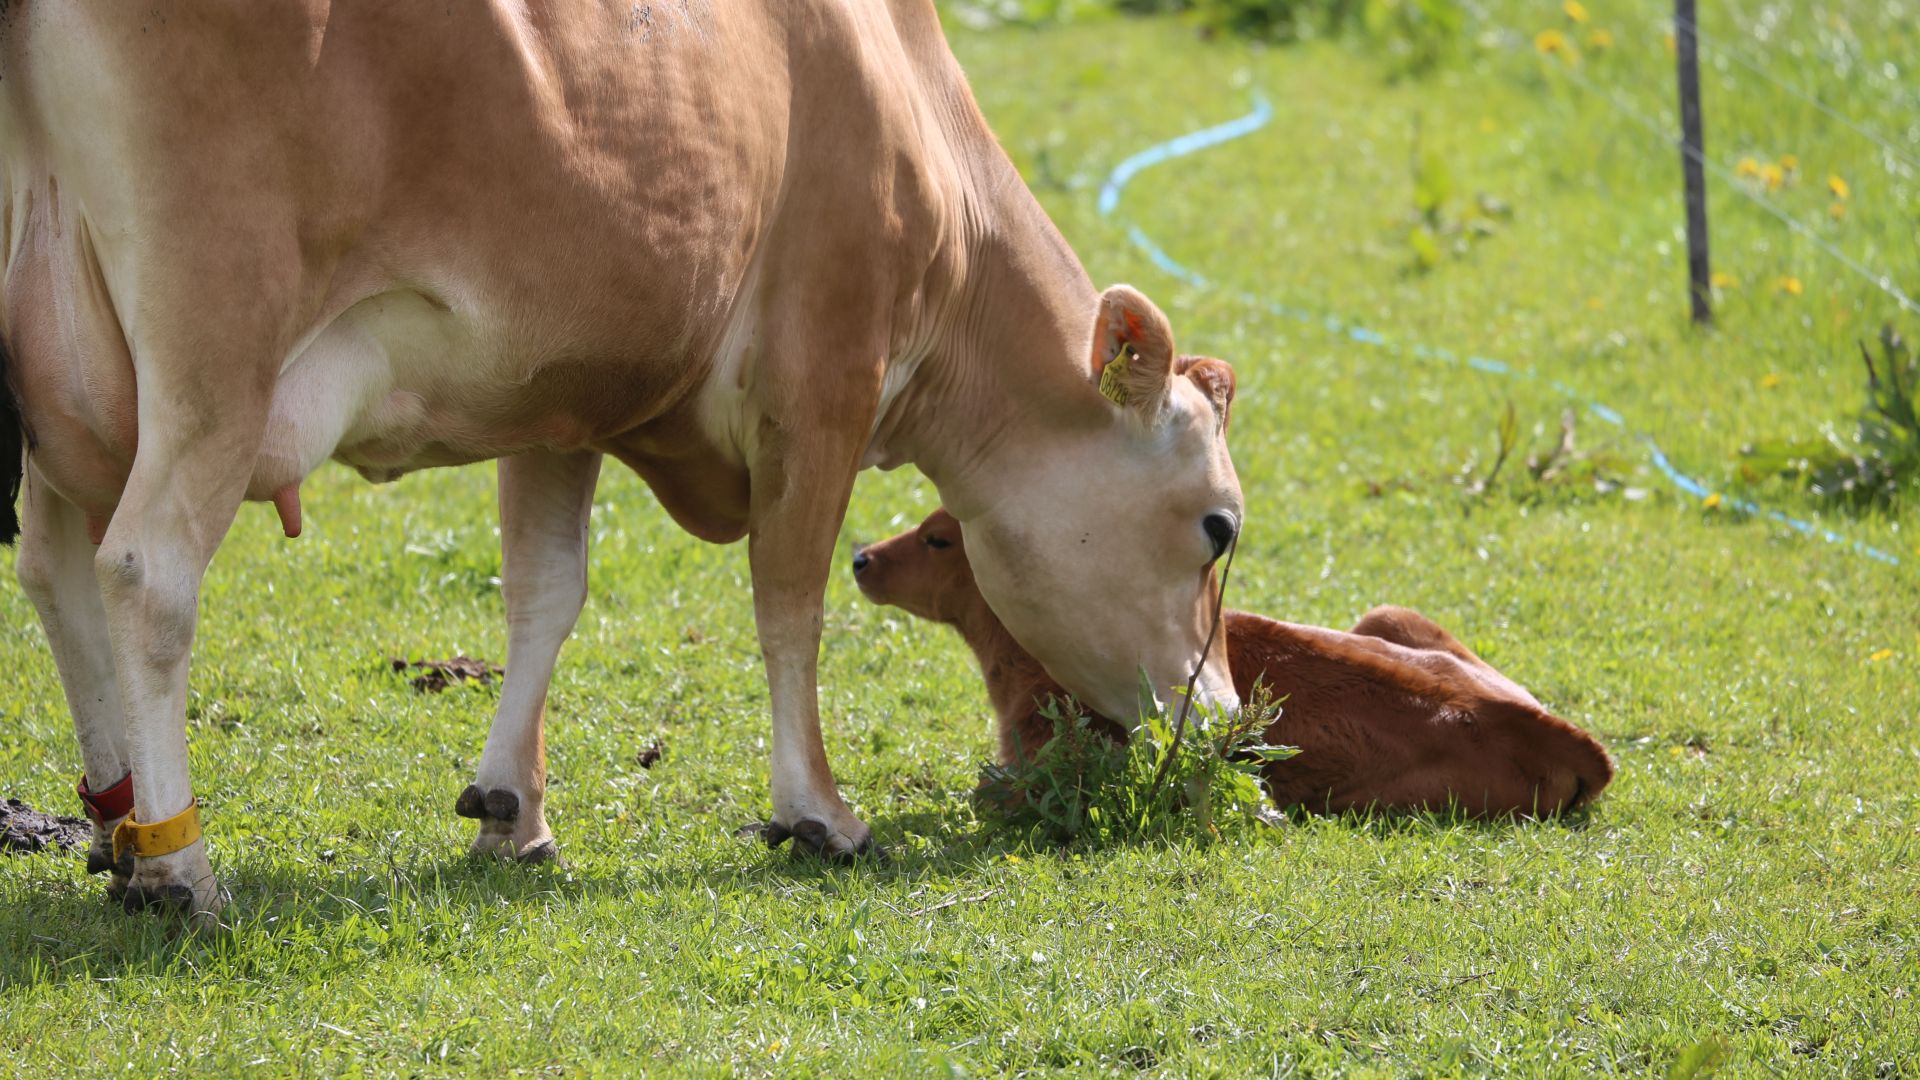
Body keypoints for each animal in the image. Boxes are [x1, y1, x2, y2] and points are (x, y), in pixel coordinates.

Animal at [0, 0, 1244, 910]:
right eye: (1217, 526)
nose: (1231, 722)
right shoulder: (823, 382)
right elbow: (790, 603)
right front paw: (819, 811)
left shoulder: (558, 401)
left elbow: (543, 592)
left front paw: (512, 810)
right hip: (214, 342)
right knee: (145, 572)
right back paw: (176, 867)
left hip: (52, 371)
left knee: (57, 568)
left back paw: (113, 824)